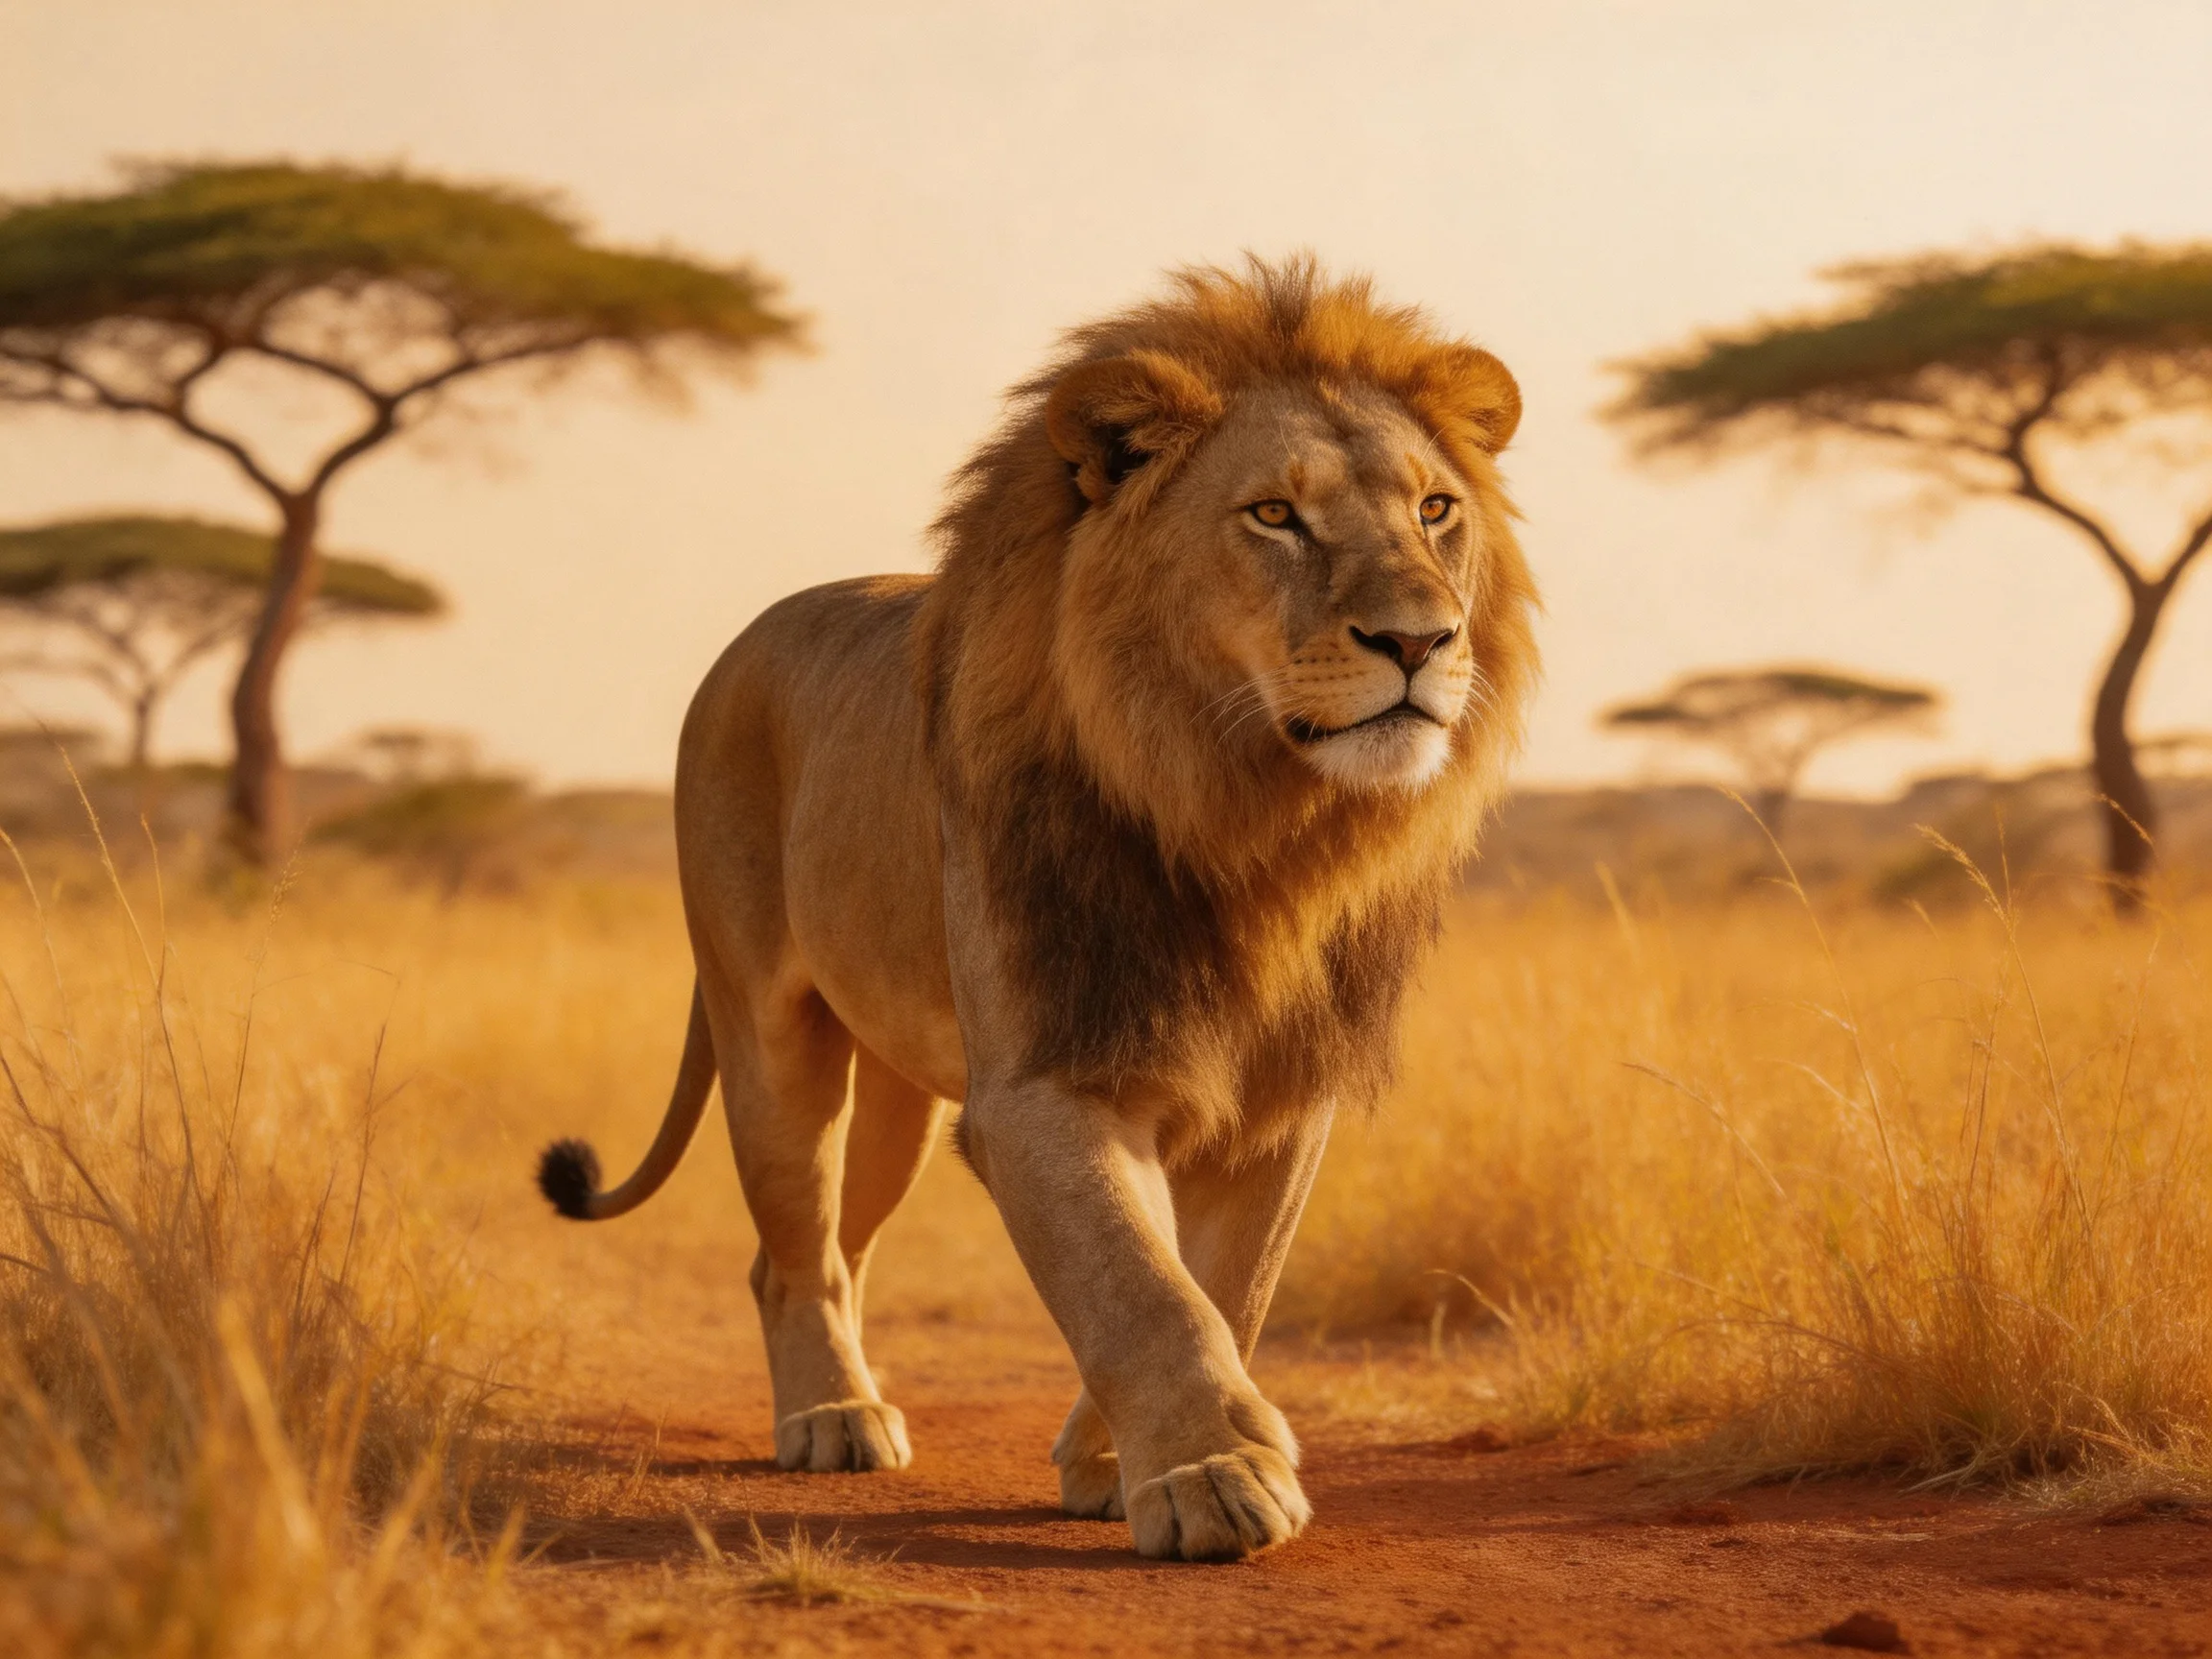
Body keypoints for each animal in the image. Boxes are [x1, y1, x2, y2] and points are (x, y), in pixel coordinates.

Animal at [537, 257, 1539, 1562]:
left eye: (1435, 510)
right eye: (1275, 515)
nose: (1422, 640)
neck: (1249, 823)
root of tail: (753, 636)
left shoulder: (1277, 1101)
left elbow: (1222, 1286)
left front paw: (1118, 1462)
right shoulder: (1047, 1081)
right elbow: (1140, 1284)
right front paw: (1211, 1476)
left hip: (903, 1103)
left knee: (838, 1248)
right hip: (770, 1030)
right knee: (789, 1248)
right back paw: (831, 1416)